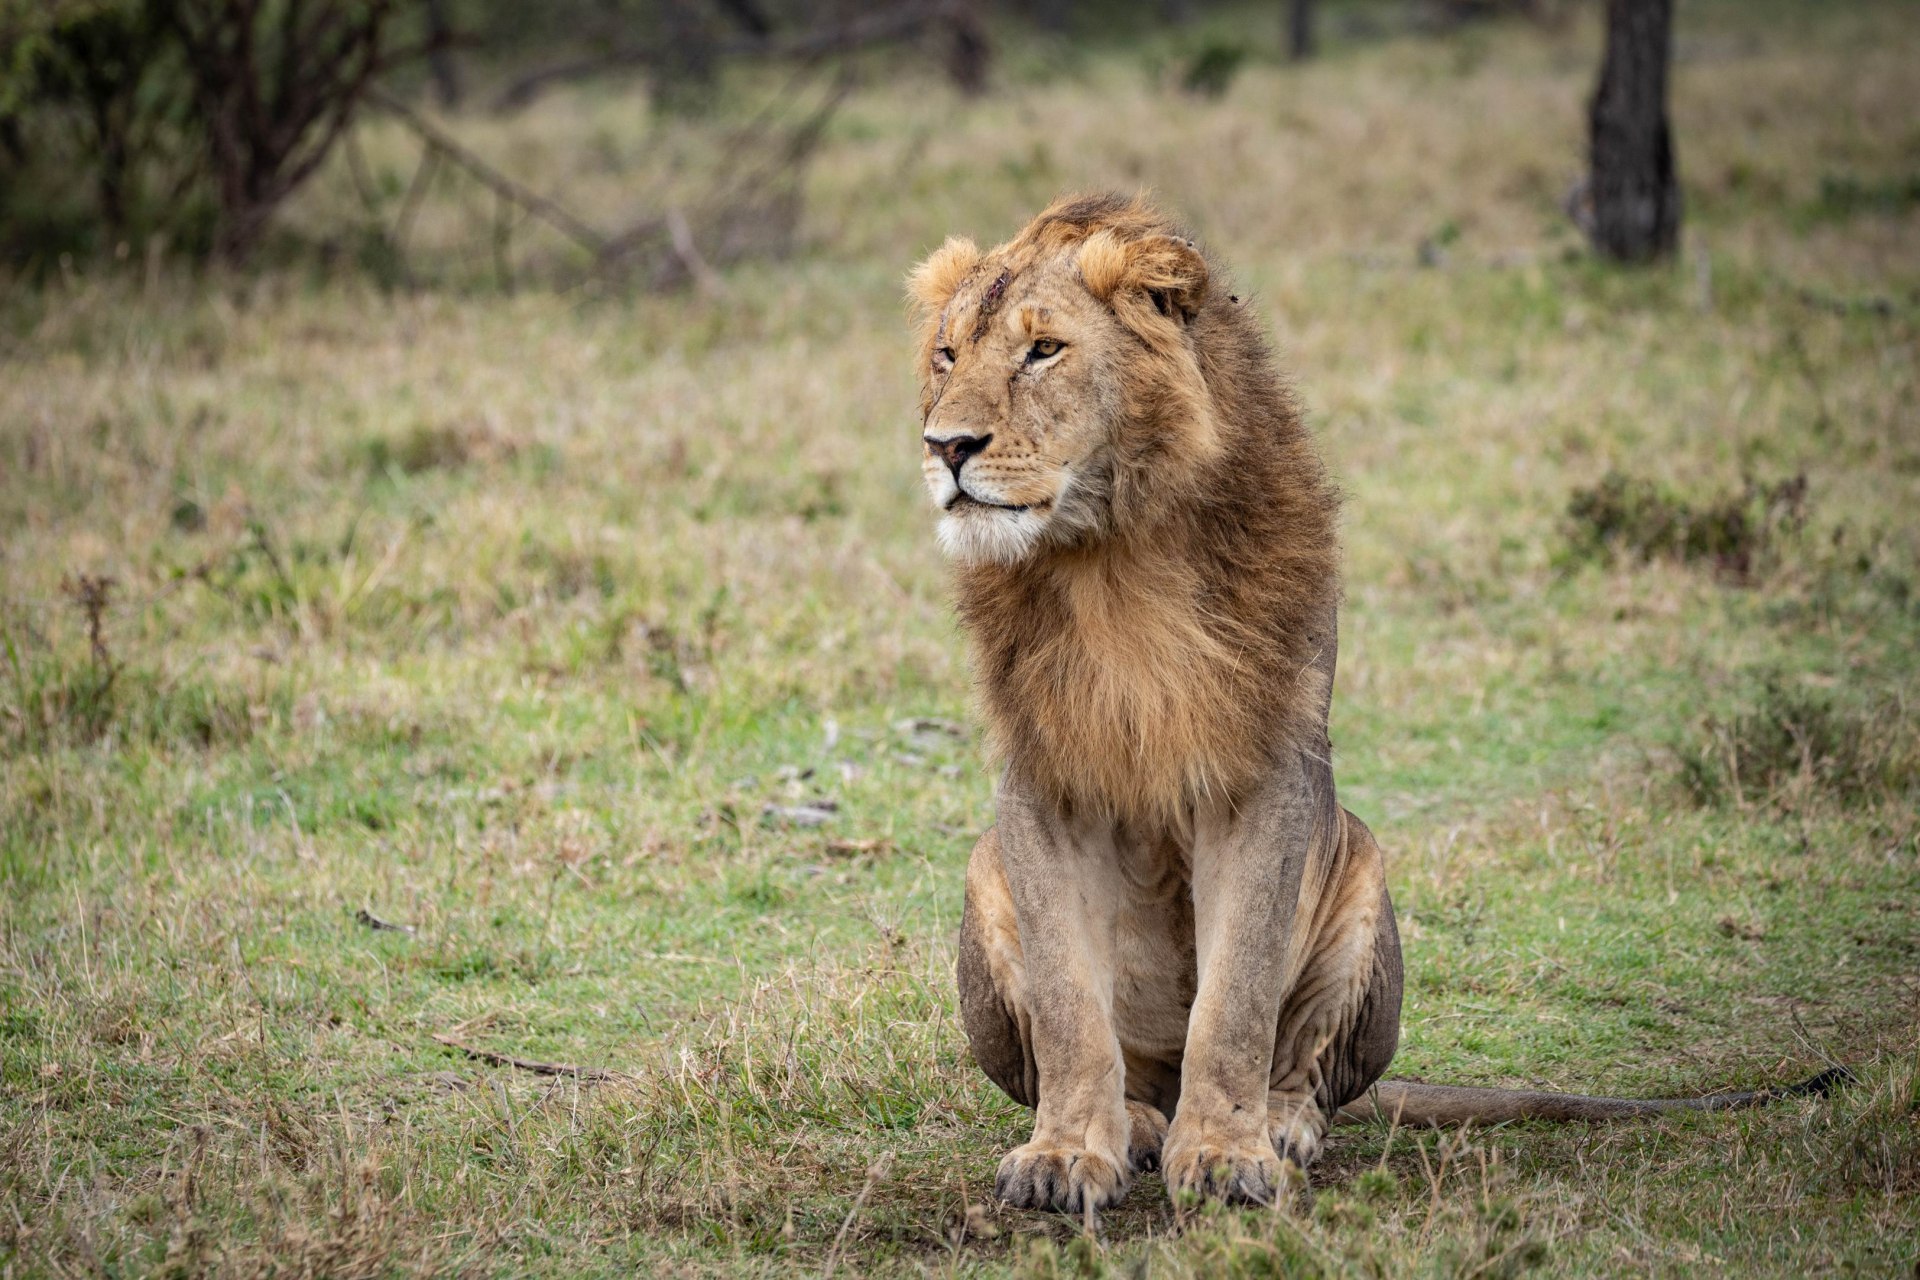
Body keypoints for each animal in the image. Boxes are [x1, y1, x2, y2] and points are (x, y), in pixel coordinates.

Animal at [906, 192, 1850, 1212]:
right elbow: (1071, 1010)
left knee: (1309, 1074)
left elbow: (1236, 1000)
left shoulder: (1269, 770)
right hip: (983, 867)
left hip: (1358, 857)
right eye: (948, 355)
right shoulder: (1045, 781)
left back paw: (1274, 1127)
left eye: (1044, 350)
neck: (1109, 553)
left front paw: (1228, 1154)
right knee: (1121, 1063)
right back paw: (1141, 1126)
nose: (946, 447)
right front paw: (1067, 1153)